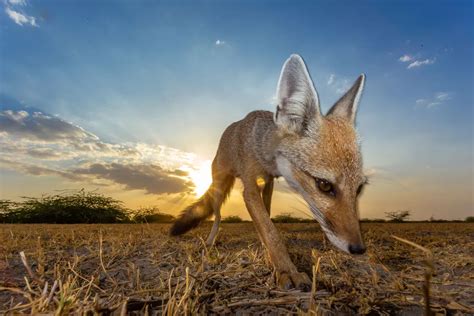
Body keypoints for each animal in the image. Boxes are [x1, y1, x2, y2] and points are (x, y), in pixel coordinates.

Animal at [172, 54, 368, 292]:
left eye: (359, 188)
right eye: (324, 185)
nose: (358, 249)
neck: (262, 150)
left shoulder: (268, 183)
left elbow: (266, 223)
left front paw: (270, 257)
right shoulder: (249, 188)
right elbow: (270, 231)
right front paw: (287, 271)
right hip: (218, 191)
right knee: (216, 216)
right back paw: (209, 241)